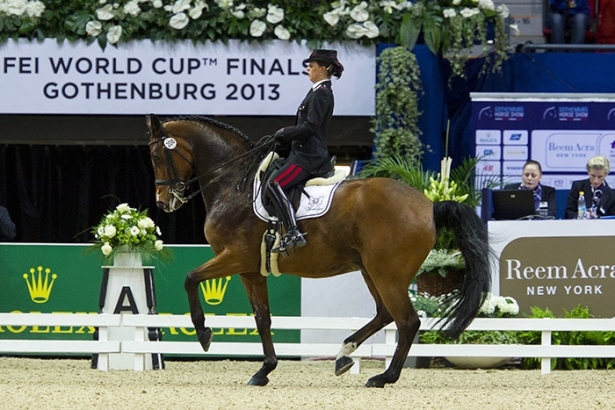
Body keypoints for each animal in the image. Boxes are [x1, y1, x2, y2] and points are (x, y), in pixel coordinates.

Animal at [147, 114, 494, 388]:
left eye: (156, 155)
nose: (164, 203)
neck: (235, 185)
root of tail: (430, 205)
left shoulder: (234, 257)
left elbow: (190, 278)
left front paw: (204, 333)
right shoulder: (250, 269)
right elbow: (262, 318)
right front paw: (264, 370)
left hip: (388, 274)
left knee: (407, 321)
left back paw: (383, 377)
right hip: (372, 271)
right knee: (385, 314)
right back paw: (344, 355)